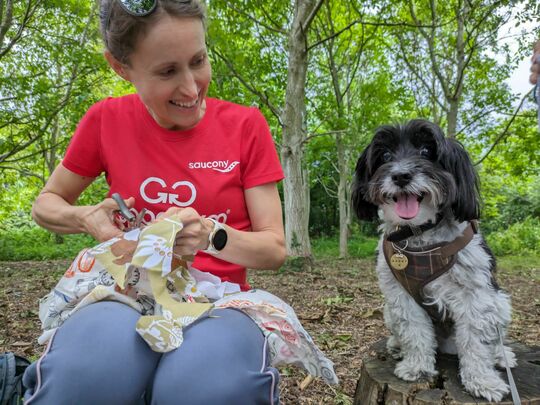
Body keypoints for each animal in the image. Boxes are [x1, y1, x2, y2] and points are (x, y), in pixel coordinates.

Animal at [352, 119, 516, 400]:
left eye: (427, 151)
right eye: (385, 156)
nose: (401, 176)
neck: (419, 235)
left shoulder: (476, 295)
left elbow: (476, 341)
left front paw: (483, 381)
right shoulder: (401, 295)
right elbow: (414, 331)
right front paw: (417, 367)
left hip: (501, 303)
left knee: (492, 340)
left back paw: (500, 357)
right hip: (389, 311)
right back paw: (396, 346)